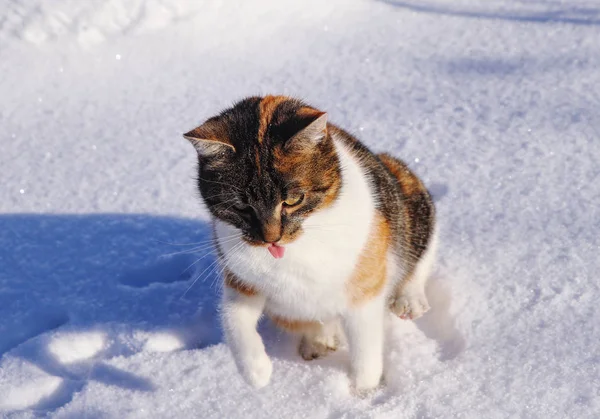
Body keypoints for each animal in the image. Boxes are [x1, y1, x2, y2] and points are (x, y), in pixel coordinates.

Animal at [183, 96, 436, 394]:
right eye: (241, 207)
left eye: (293, 200)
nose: (271, 238)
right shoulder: (240, 274)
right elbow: (233, 315)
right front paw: (256, 373)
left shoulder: (364, 284)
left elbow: (365, 344)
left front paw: (364, 391)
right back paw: (319, 340)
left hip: (407, 191)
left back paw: (409, 300)